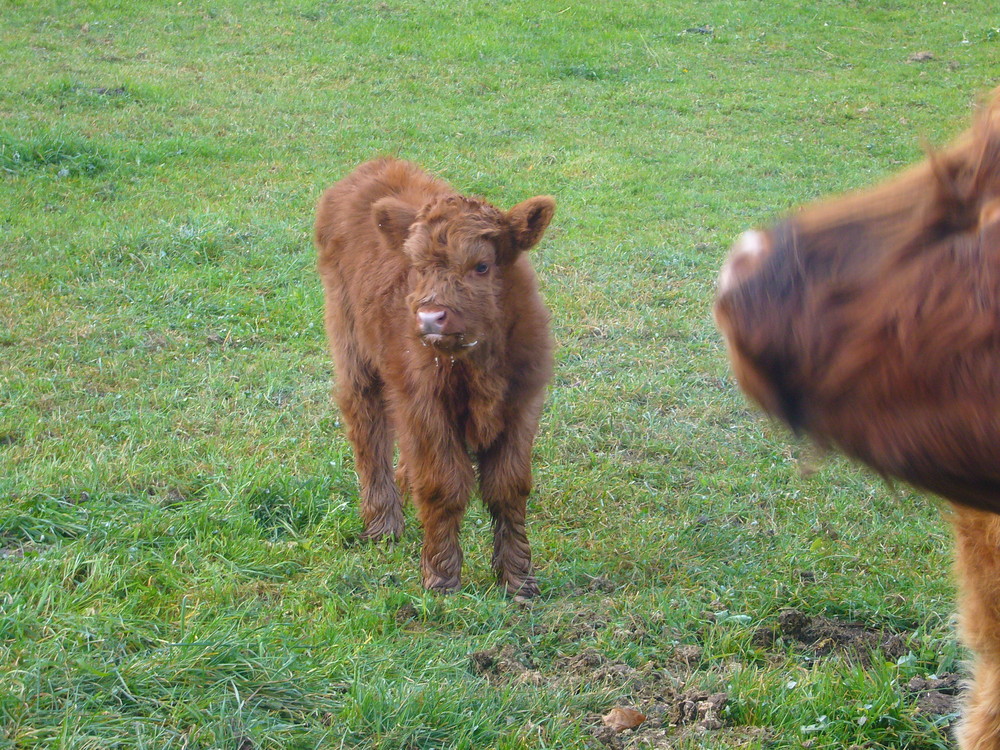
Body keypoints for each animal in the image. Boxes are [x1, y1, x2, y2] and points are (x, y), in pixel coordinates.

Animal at [314, 159, 556, 600]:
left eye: (481, 265)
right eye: (419, 267)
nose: (429, 317)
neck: (479, 367)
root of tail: (377, 165)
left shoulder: (523, 403)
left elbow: (509, 488)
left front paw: (518, 580)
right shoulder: (424, 403)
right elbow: (444, 486)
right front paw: (442, 578)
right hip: (353, 350)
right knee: (367, 429)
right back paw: (383, 523)